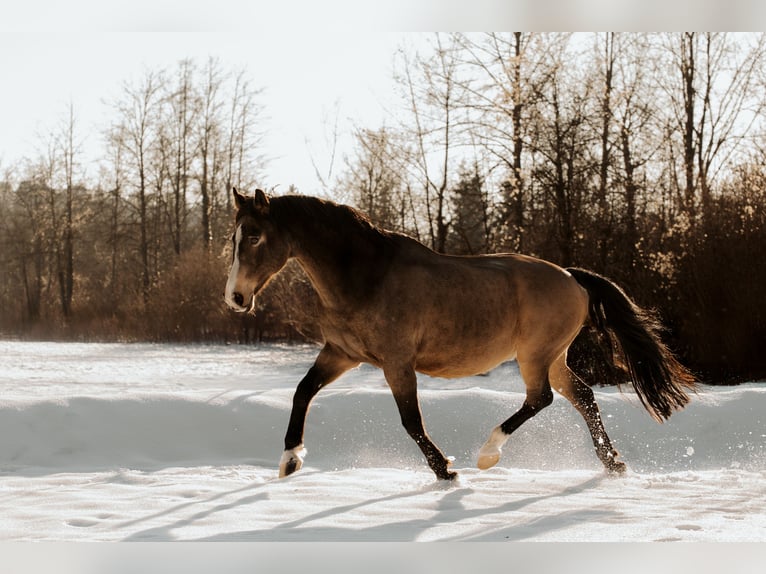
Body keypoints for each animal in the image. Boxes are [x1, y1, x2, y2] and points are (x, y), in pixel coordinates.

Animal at [224, 188, 696, 480]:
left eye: (255, 236)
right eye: (233, 237)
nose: (235, 297)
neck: (366, 276)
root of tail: (571, 276)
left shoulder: (397, 363)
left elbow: (411, 420)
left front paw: (445, 470)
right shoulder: (341, 353)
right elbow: (303, 391)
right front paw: (290, 460)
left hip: (535, 355)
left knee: (540, 398)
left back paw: (488, 454)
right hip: (554, 357)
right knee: (581, 397)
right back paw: (613, 463)